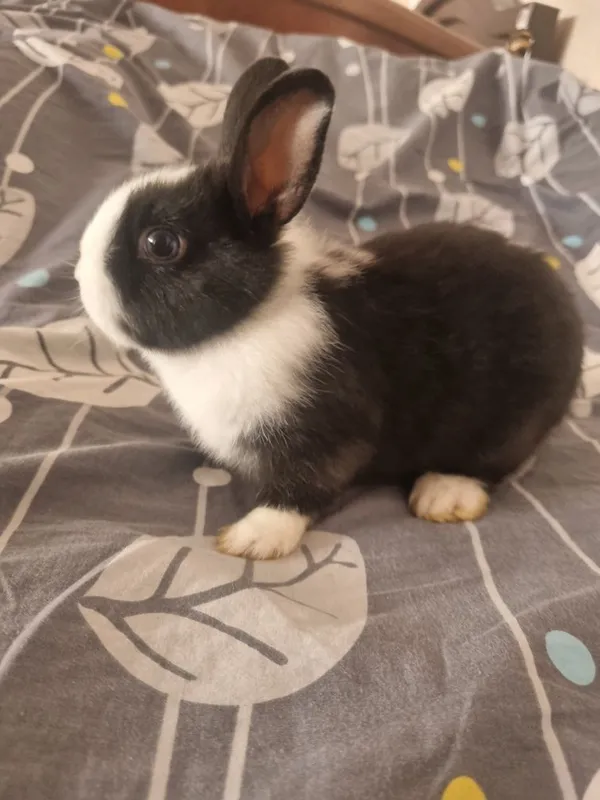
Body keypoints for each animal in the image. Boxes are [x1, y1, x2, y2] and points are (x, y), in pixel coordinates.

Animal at [76, 57, 583, 560]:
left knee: (494, 461)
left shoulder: (328, 430)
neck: (248, 321)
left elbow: (301, 488)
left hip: (510, 418)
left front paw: (252, 538)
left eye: (161, 243)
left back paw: (443, 493)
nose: (80, 277)